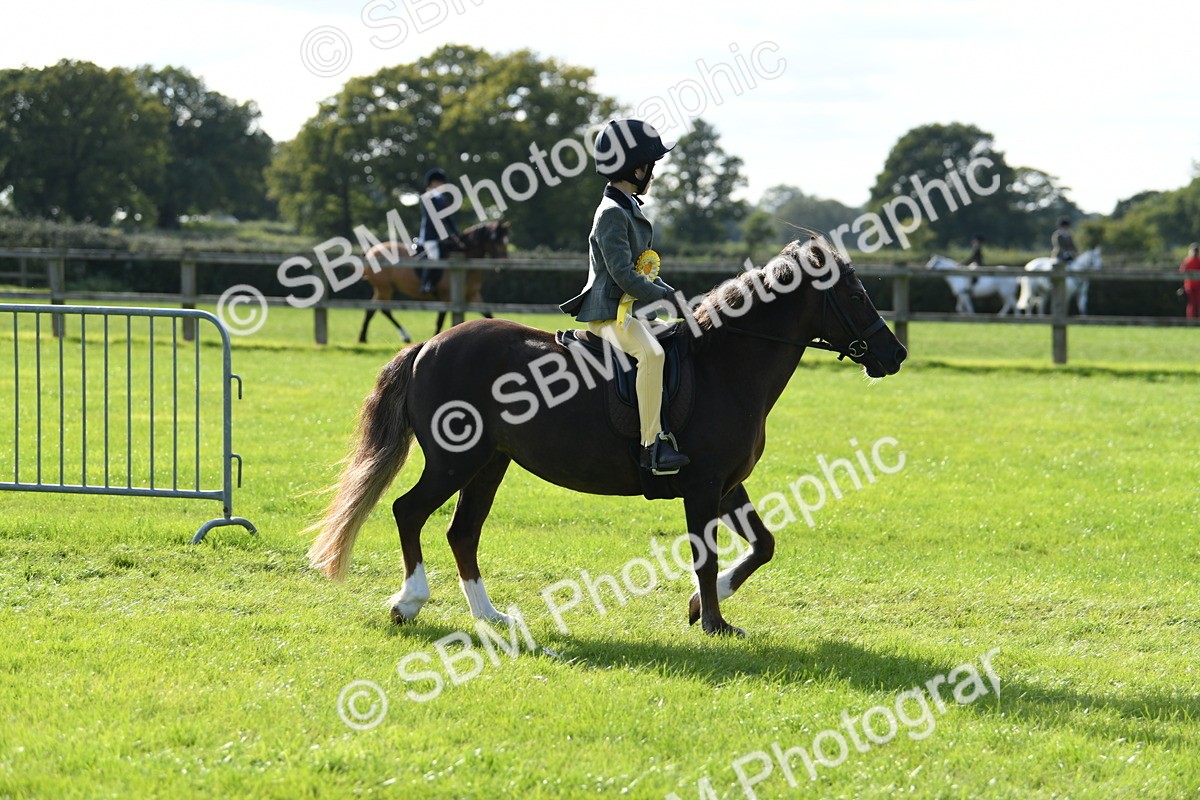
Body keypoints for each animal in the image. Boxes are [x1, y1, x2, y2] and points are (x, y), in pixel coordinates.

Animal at [306, 236, 907, 637]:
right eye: (855, 295)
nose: (895, 354)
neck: (726, 365)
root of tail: (429, 346)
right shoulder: (703, 486)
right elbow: (708, 557)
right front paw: (713, 622)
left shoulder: (728, 484)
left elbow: (762, 545)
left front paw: (700, 609)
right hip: (456, 460)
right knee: (410, 511)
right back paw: (409, 603)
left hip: (489, 463)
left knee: (463, 532)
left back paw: (489, 615)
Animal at [357, 220, 511, 343]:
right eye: (496, 240)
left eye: (506, 241)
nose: (503, 265)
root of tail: (371, 251)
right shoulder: (446, 297)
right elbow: (440, 321)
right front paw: (436, 338)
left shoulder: (473, 294)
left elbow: (488, 314)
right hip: (384, 288)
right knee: (384, 309)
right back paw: (403, 335)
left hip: (382, 288)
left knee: (372, 310)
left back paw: (363, 337)